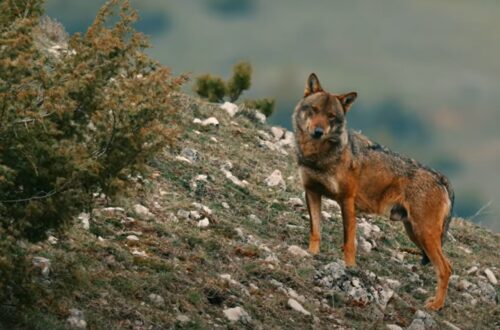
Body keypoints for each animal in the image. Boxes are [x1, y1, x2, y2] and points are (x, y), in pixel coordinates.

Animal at [292, 73, 456, 310]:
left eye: (331, 116)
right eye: (313, 110)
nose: (318, 132)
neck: (318, 156)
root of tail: (442, 178)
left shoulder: (347, 201)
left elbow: (349, 243)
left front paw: (350, 269)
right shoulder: (312, 192)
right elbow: (315, 231)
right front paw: (311, 255)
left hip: (423, 234)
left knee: (446, 268)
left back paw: (436, 305)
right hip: (414, 233)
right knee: (445, 266)